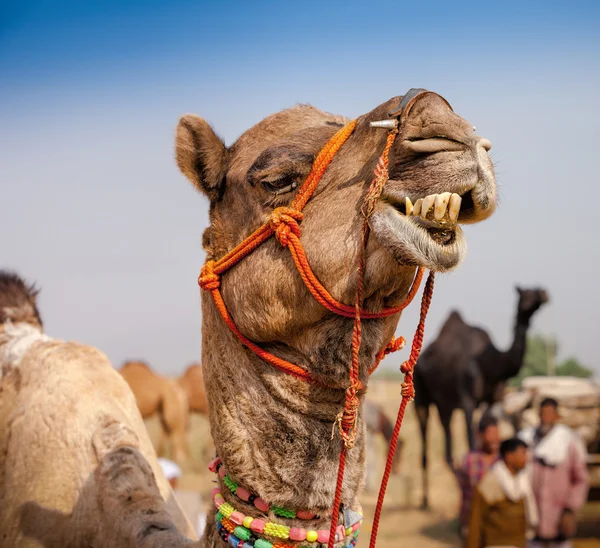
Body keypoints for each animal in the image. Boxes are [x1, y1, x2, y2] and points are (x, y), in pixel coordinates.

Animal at [414, 288, 552, 508]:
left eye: (538, 289)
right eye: (526, 293)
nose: (544, 294)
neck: (491, 364)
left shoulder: (494, 399)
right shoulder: (468, 400)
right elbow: (471, 441)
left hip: (445, 404)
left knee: (447, 445)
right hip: (420, 396)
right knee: (425, 439)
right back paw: (425, 501)